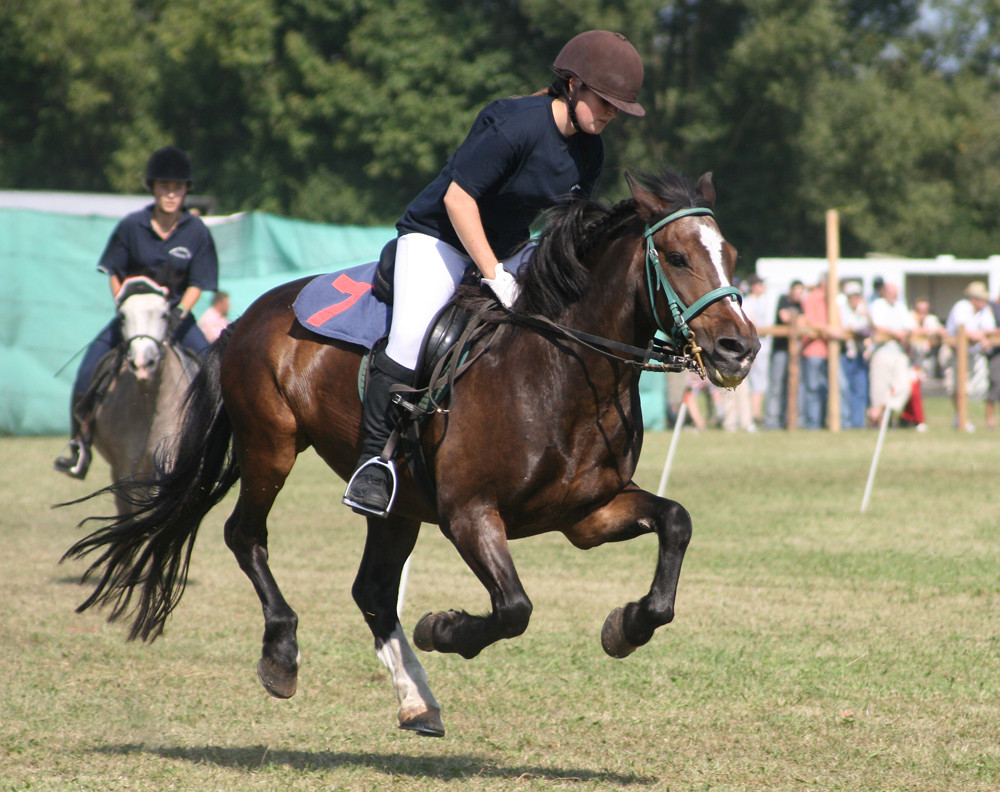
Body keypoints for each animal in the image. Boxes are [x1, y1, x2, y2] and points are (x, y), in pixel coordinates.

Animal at [66, 167, 756, 736]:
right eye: (676, 256)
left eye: (731, 256)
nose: (739, 349)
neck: (563, 366)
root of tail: (249, 316)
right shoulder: (469, 514)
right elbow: (513, 608)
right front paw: (443, 629)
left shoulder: (588, 514)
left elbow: (676, 524)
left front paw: (627, 626)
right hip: (272, 447)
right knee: (246, 535)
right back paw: (282, 654)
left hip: (396, 505)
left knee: (372, 589)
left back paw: (417, 701)